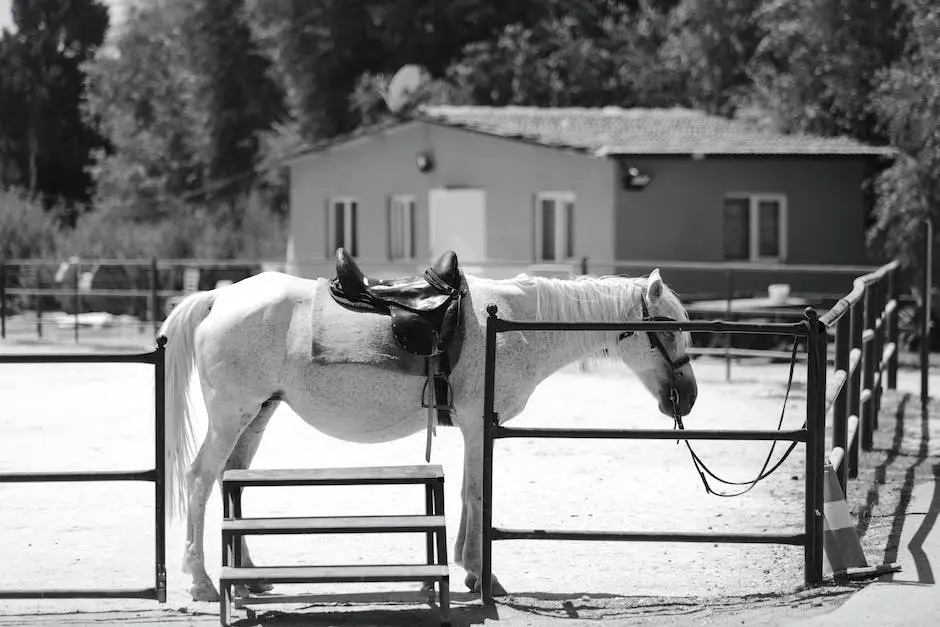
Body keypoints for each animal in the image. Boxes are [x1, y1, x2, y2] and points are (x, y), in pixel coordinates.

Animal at [158, 264, 696, 604]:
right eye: (668, 327)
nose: (688, 397)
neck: (511, 328)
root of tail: (220, 296)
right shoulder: (480, 423)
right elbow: (477, 493)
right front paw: (482, 574)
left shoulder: (474, 427)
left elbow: (465, 494)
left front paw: (468, 569)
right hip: (231, 414)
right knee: (201, 480)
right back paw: (202, 583)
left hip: (258, 413)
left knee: (231, 478)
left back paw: (248, 577)